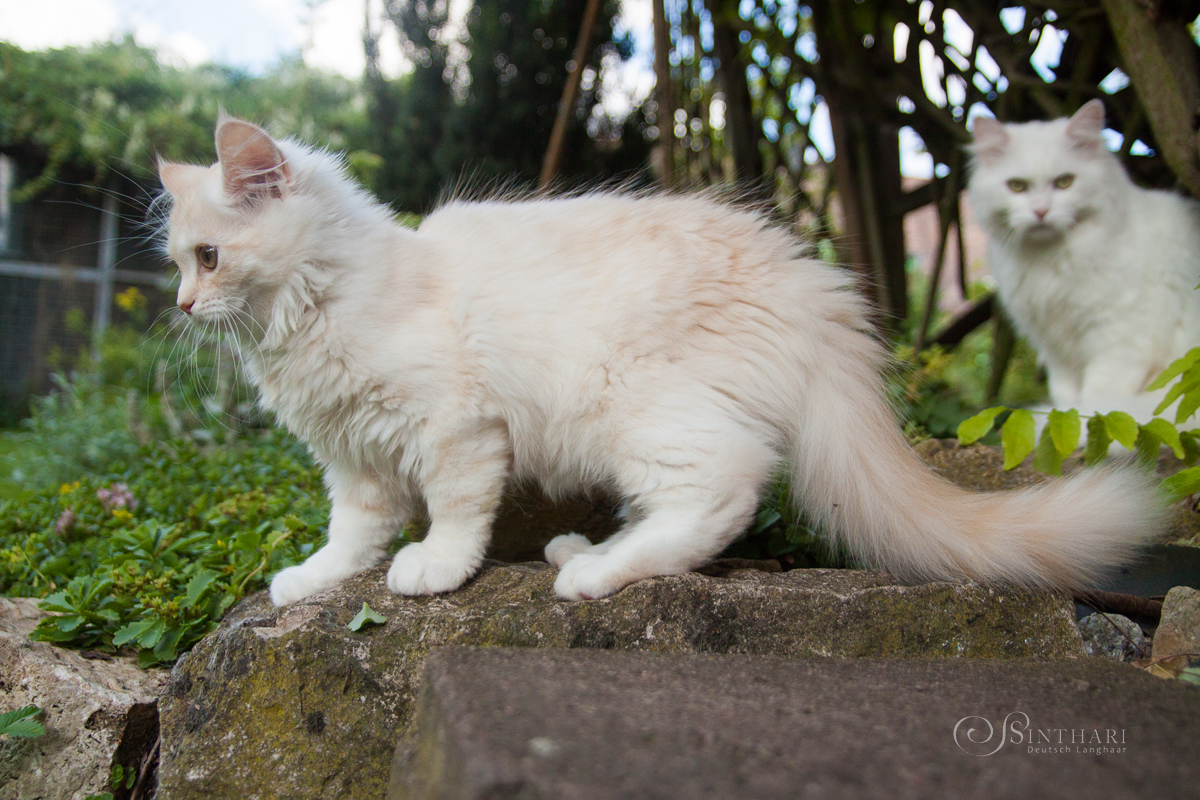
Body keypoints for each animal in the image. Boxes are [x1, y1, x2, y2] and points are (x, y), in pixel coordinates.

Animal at [159, 115, 1161, 604]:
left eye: (207, 257)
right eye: (172, 261)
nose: (178, 305)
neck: (317, 311)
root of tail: (810, 286)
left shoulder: (456, 429)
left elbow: (454, 514)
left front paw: (435, 569)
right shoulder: (355, 461)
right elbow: (350, 538)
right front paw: (311, 582)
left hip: (637, 409)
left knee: (725, 490)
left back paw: (594, 574)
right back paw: (588, 547)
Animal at [969, 100, 1195, 422]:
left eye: (1065, 182)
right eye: (1017, 186)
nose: (1041, 212)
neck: (1048, 261)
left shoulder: (1122, 337)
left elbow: (1097, 400)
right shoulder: (1057, 350)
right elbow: (1066, 399)